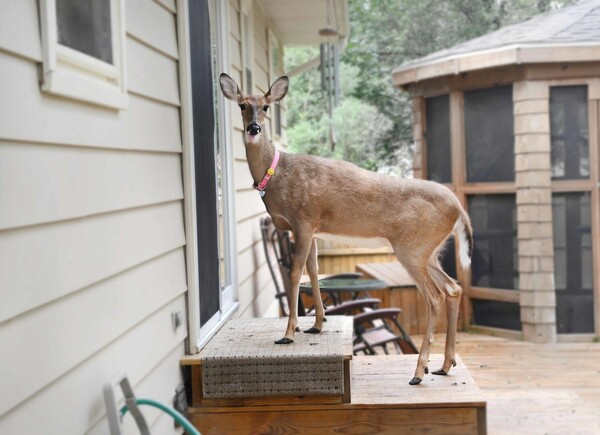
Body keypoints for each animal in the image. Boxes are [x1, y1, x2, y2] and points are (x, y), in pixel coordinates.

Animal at [219, 73, 474, 386]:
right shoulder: (312, 229)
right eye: (242, 105)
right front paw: (317, 325)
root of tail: (458, 208)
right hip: (430, 251)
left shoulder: (303, 219)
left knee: (435, 298)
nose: (253, 128)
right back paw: (444, 365)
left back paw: (418, 372)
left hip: (412, 248)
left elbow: (295, 273)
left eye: (266, 106)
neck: (276, 175)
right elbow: (314, 271)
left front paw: (289, 333)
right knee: (453, 288)